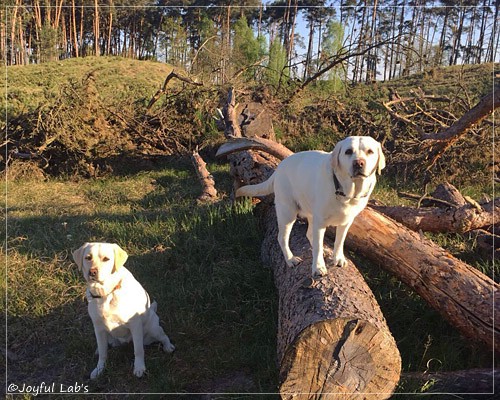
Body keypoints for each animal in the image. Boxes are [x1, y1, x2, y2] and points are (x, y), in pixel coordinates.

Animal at [71, 244, 175, 378]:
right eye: (88, 258)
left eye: (106, 259)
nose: (92, 272)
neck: (106, 294)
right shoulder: (98, 329)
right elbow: (103, 353)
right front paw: (99, 369)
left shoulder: (135, 325)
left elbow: (138, 350)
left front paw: (139, 367)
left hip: (153, 329)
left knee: (163, 336)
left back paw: (168, 347)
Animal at [236, 136, 384, 276]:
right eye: (348, 151)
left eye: (370, 151)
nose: (358, 163)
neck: (346, 192)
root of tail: (279, 167)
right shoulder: (320, 222)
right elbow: (317, 247)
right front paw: (318, 267)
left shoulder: (346, 222)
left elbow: (339, 242)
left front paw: (338, 258)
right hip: (288, 213)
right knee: (282, 238)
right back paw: (290, 259)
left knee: (309, 234)